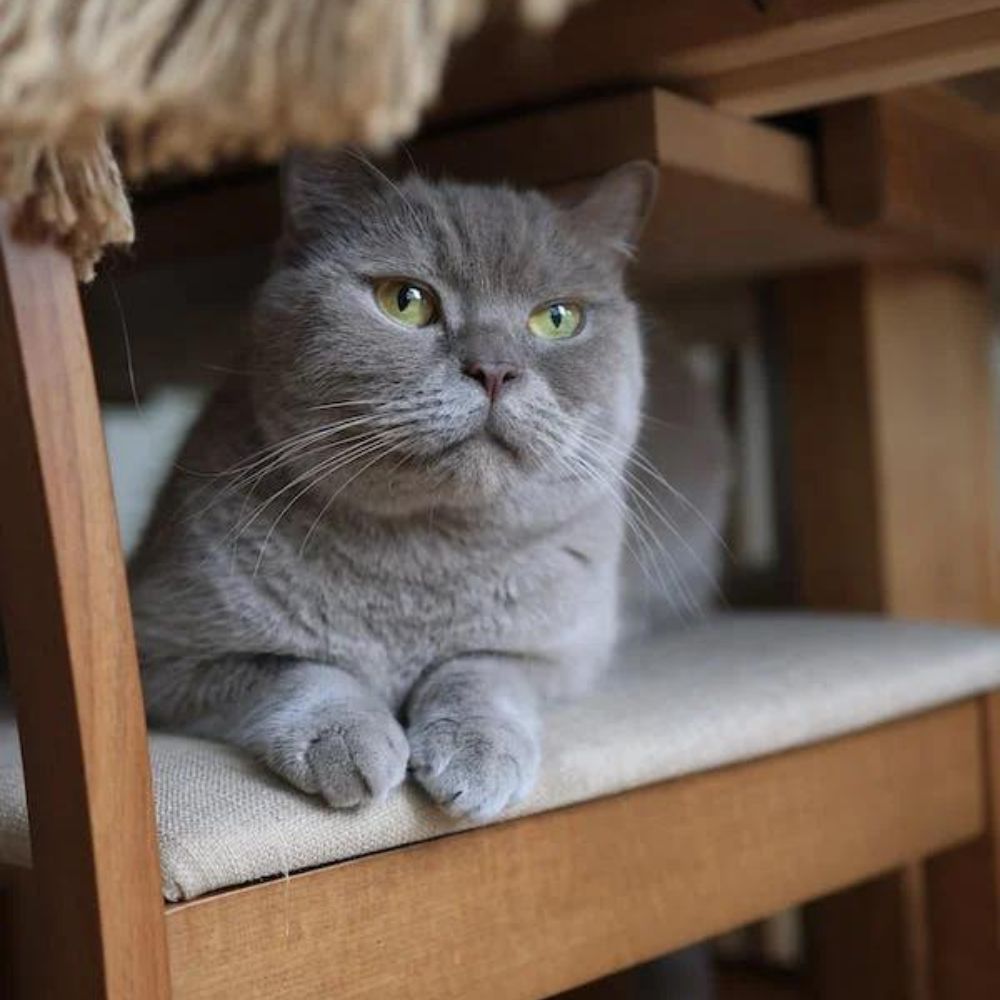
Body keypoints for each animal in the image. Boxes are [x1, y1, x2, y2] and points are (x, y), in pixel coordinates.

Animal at [131, 152, 728, 816]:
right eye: (406, 301)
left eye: (557, 317)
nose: (494, 369)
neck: (422, 567)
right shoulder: (166, 653)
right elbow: (294, 670)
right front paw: (346, 738)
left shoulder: (559, 653)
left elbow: (481, 671)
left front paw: (477, 754)